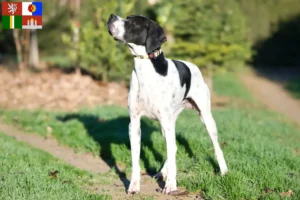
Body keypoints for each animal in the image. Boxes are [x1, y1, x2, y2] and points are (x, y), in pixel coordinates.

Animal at [106, 14, 229, 195]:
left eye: (133, 22)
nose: (111, 16)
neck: (146, 70)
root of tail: (193, 66)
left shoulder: (166, 122)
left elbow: (172, 156)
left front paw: (171, 186)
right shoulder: (134, 124)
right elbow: (136, 160)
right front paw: (134, 186)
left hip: (205, 118)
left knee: (215, 146)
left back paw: (224, 170)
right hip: (167, 125)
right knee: (173, 149)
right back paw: (162, 172)